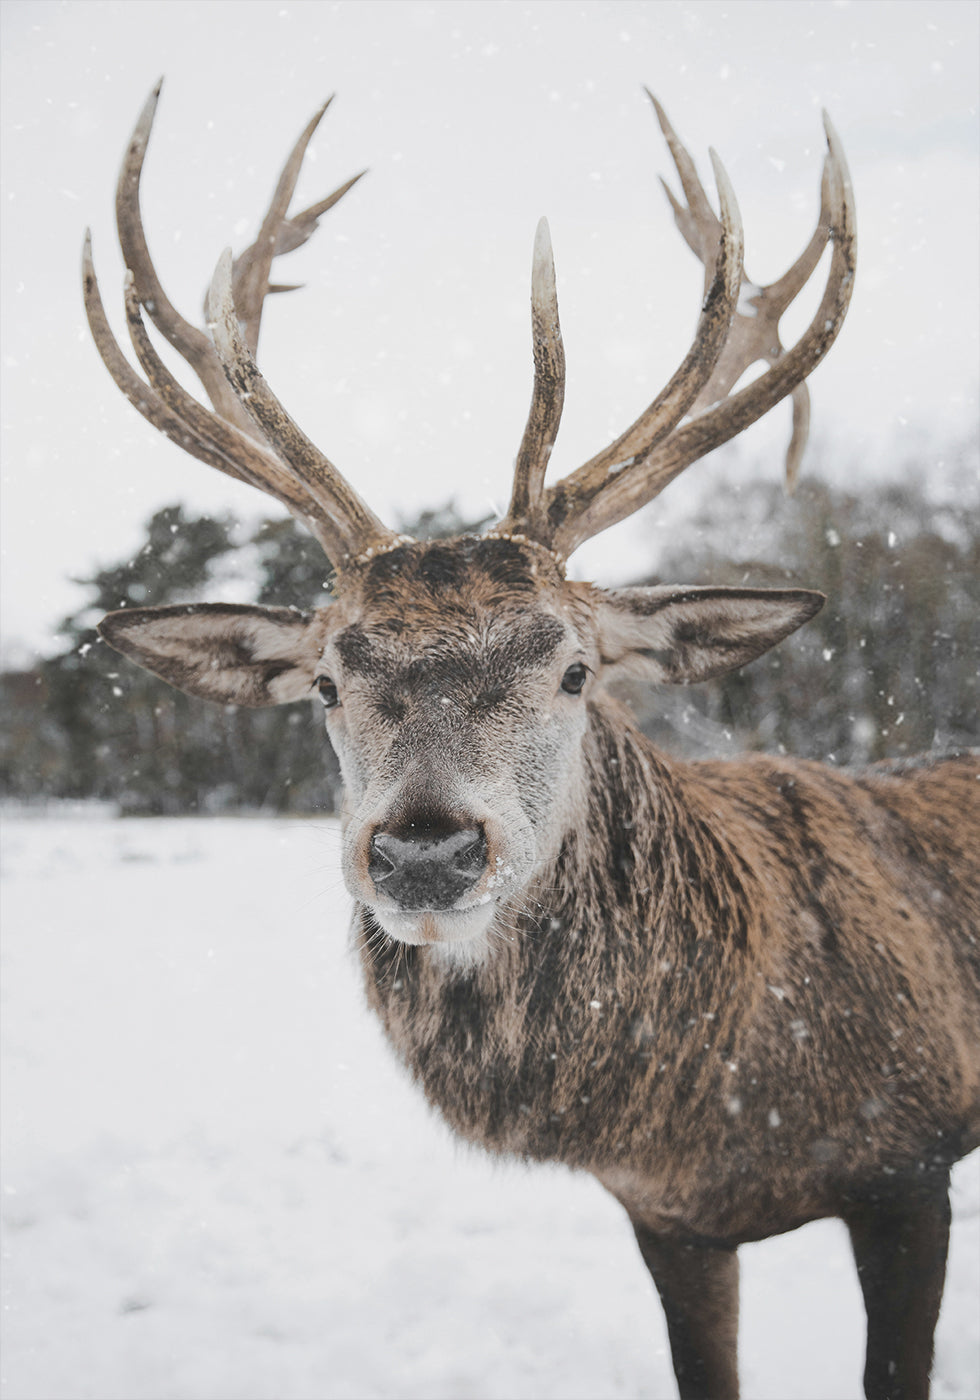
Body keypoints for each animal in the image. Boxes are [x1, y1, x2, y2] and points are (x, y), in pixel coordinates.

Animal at [86, 87, 980, 1400]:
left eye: (571, 668)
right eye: (325, 682)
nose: (423, 850)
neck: (717, 1103)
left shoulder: (908, 1158)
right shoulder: (665, 1216)